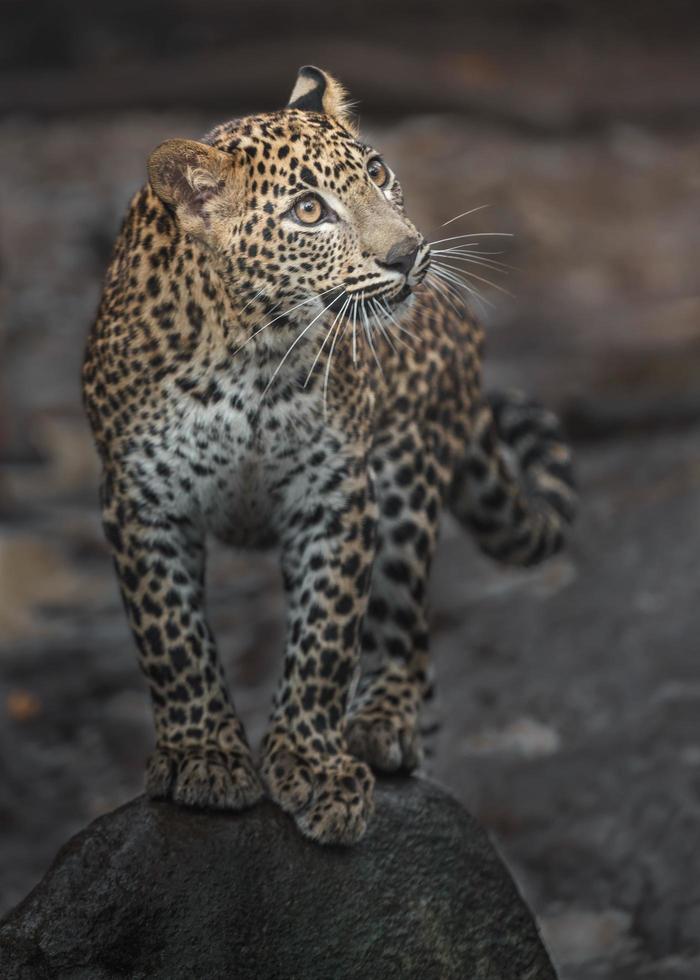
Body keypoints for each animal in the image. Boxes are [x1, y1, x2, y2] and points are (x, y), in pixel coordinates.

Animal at [83, 65, 576, 848]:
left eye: (376, 172)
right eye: (309, 211)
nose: (409, 256)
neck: (254, 352)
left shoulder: (336, 494)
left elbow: (325, 639)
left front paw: (313, 766)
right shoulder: (141, 501)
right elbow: (173, 638)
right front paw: (205, 756)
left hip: (404, 477)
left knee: (408, 638)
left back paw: (380, 725)